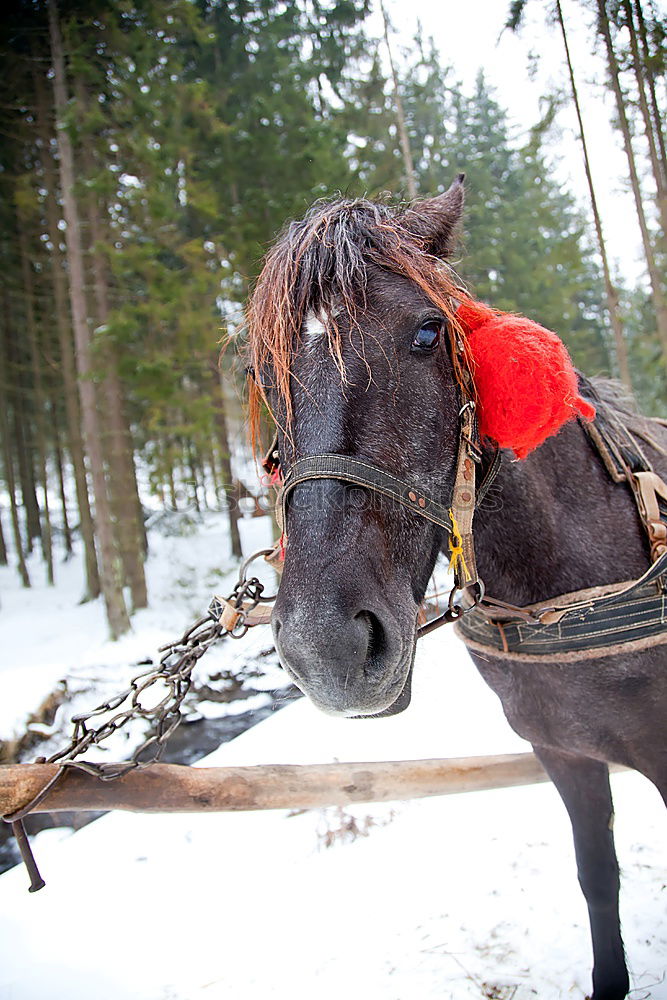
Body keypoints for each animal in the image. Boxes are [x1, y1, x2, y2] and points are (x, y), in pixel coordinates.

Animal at [247, 180, 667, 1000]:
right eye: (262, 372)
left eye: (425, 331)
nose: (326, 649)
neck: (566, 590)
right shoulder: (563, 751)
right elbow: (597, 878)